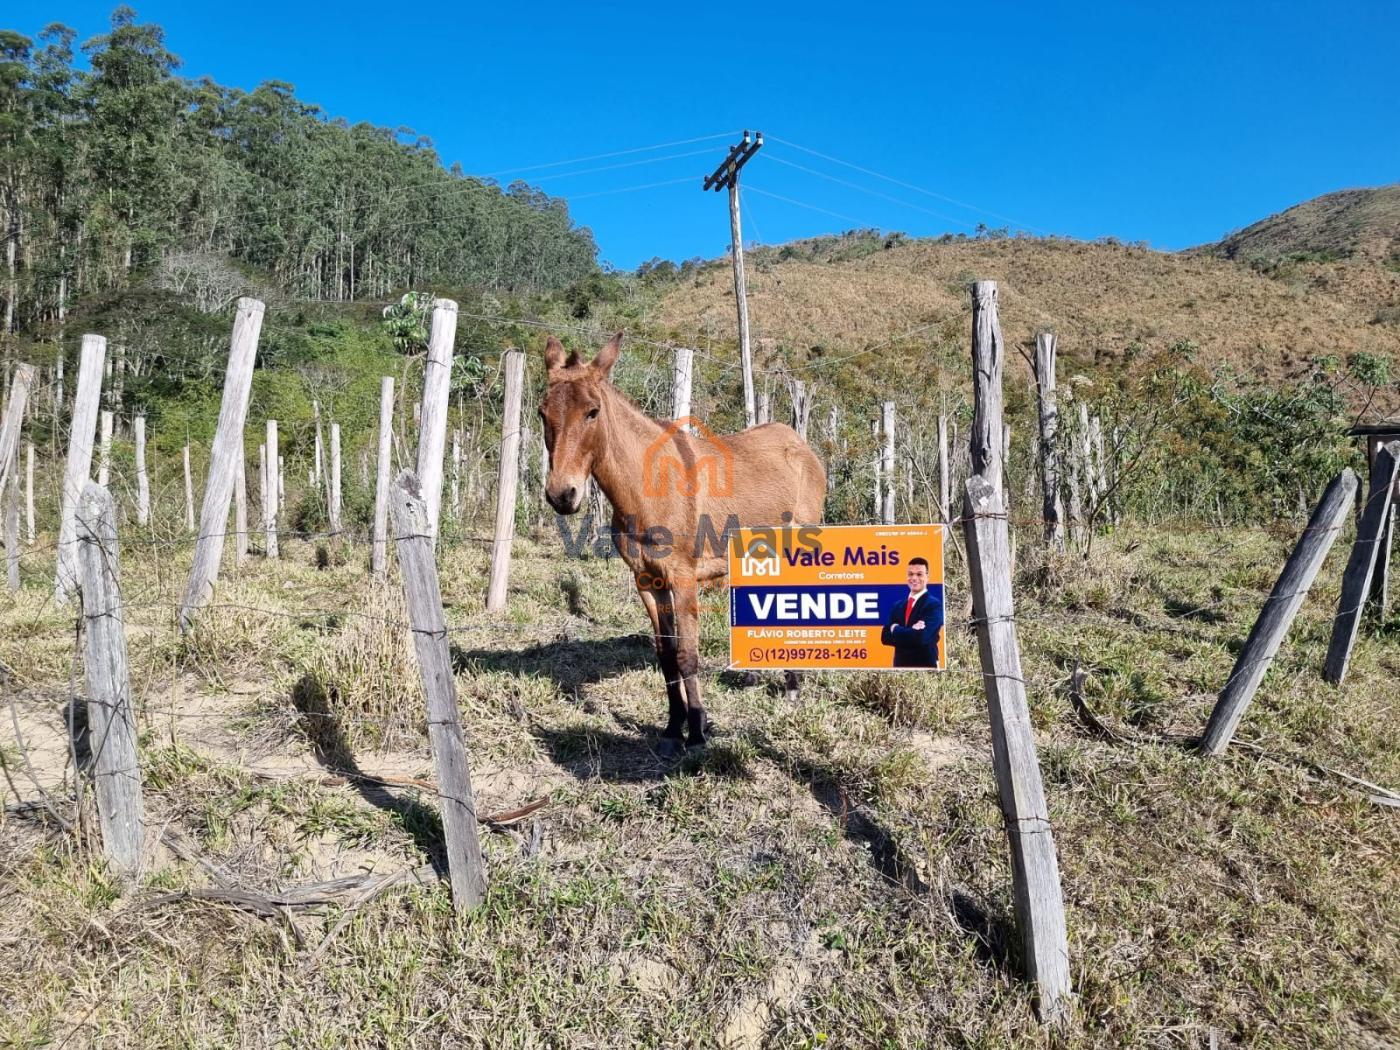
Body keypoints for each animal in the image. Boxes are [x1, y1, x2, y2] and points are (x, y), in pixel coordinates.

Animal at [534, 334, 817, 756]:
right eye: (542, 412)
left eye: (592, 412)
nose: (561, 496)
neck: (648, 485)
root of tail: (798, 441)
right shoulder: (647, 581)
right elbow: (665, 655)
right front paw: (672, 727)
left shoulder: (683, 578)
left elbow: (686, 654)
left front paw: (698, 731)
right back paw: (755, 678)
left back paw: (793, 687)